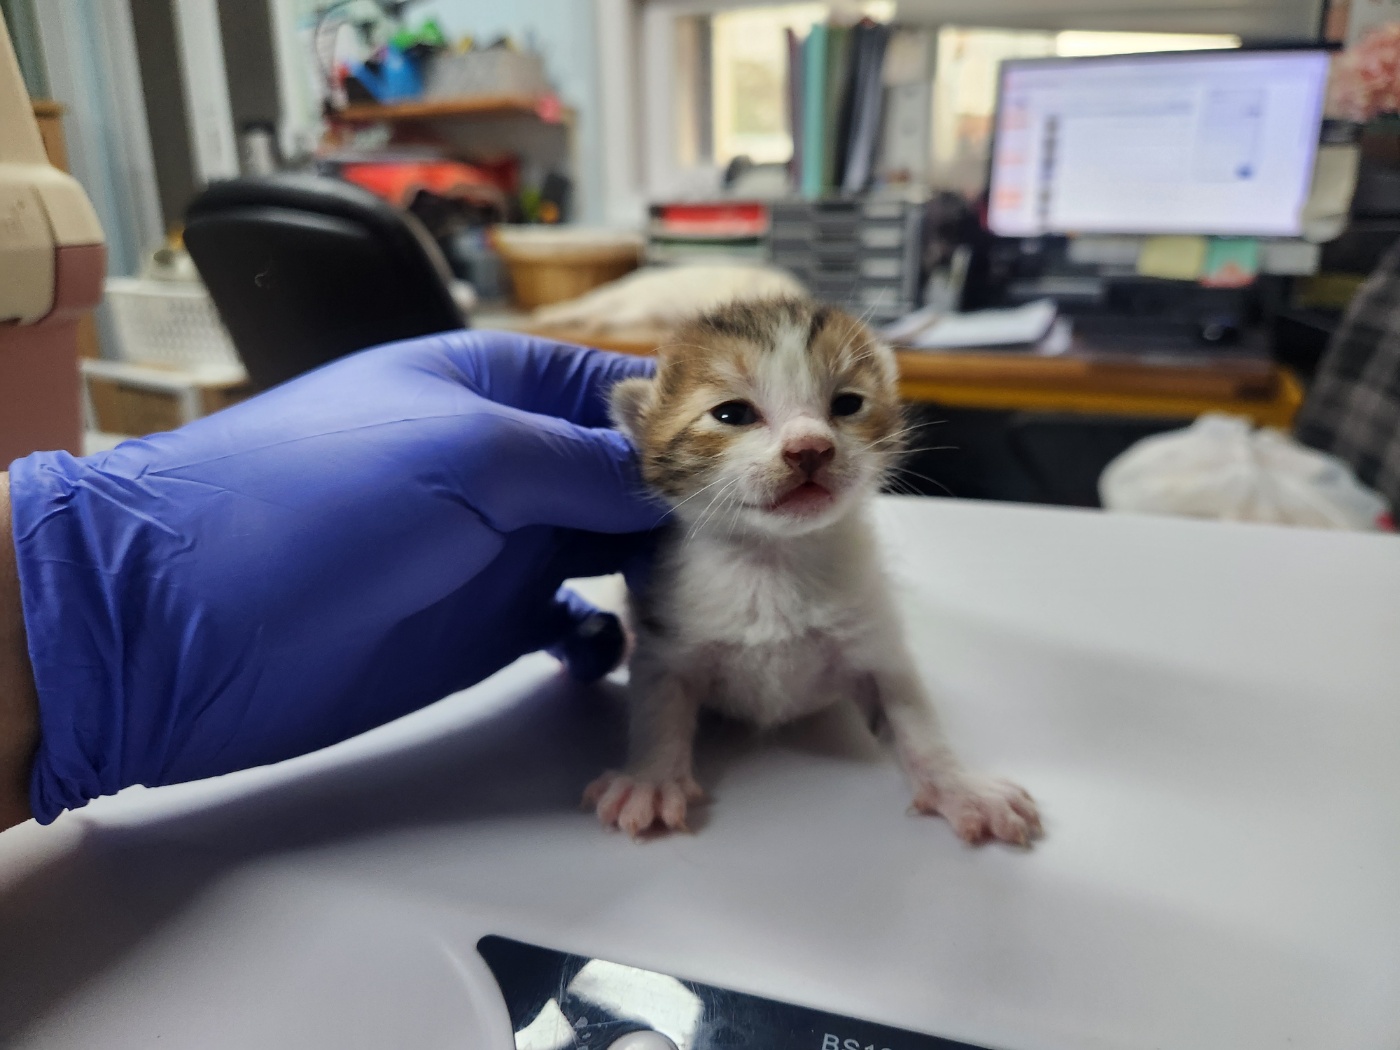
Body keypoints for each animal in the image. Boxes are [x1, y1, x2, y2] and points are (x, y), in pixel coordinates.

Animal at [582, 296, 1041, 845]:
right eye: (731, 413)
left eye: (847, 404)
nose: (810, 448)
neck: (775, 560)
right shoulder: (667, 639)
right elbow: (657, 708)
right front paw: (650, 780)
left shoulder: (874, 641)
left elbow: (914, 718)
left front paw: (959, 786)